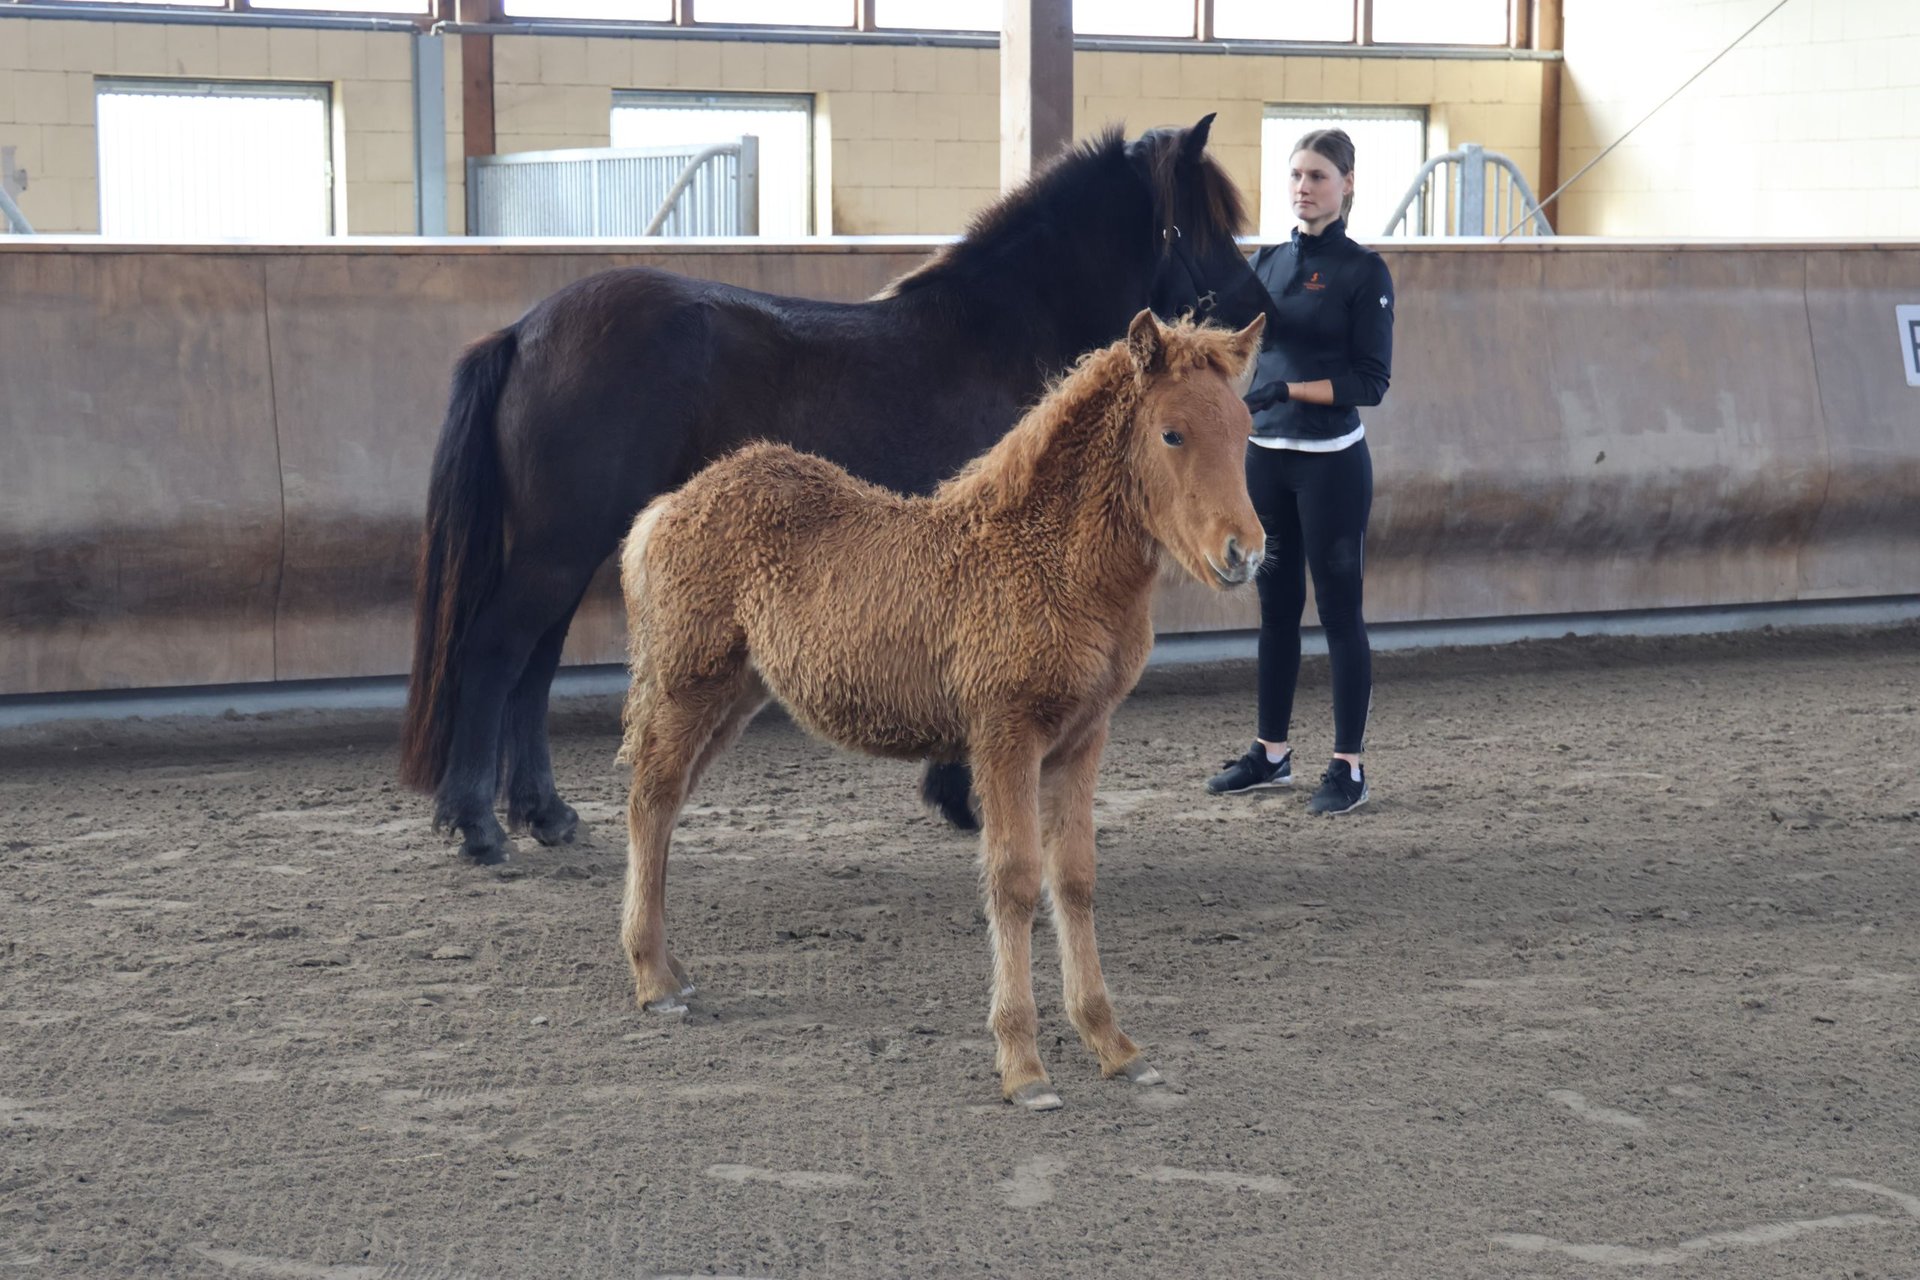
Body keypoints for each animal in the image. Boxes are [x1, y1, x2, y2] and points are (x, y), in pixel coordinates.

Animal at [403, 117, 1274, 859]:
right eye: (1203, 222)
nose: (1261, 318)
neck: (999, 331)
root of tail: (524, 332)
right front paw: (964, 795)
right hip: (559, 544)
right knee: (496, 651)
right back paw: (479, 826)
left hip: (571, 545)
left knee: (534, 663)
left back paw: (545, 815)